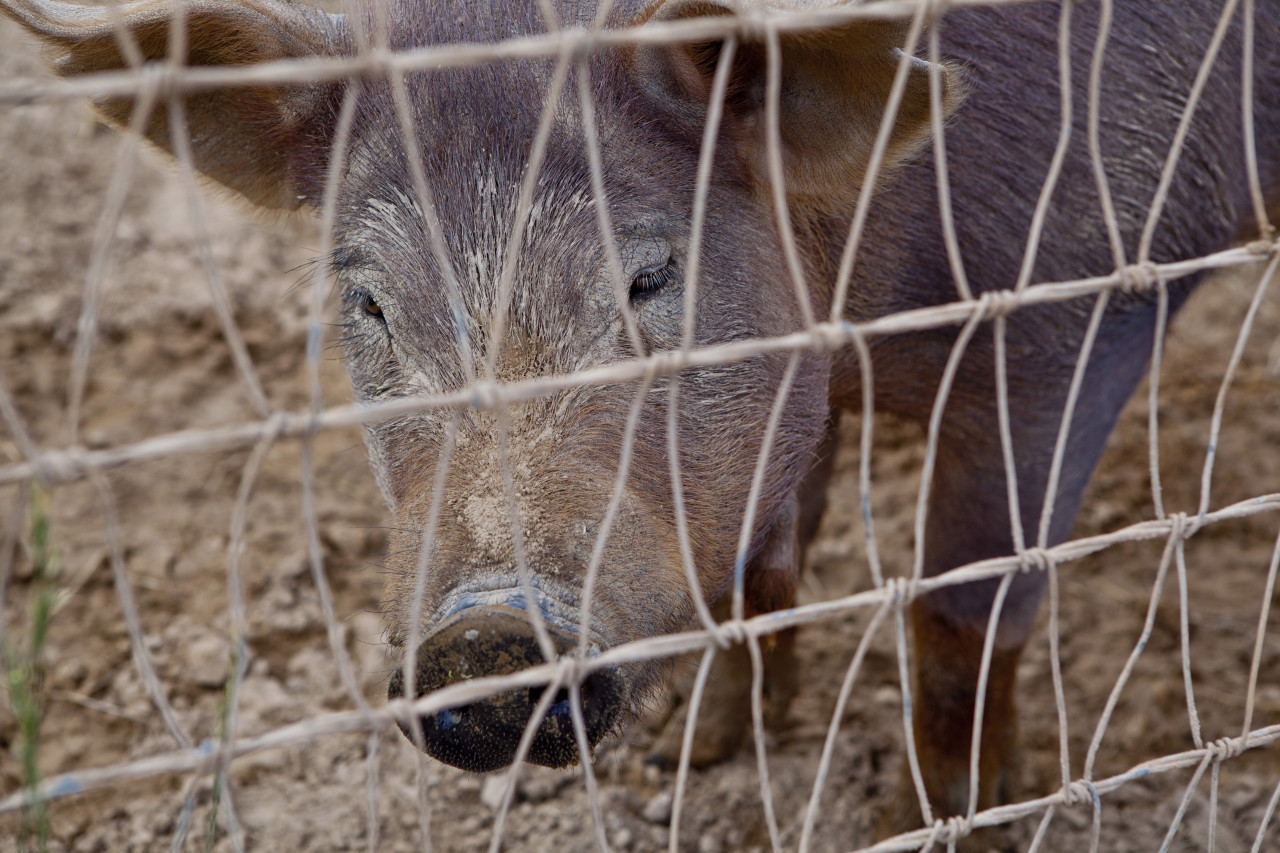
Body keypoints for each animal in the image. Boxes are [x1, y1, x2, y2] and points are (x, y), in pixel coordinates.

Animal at [5, 0, 1274, 829]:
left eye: (649, 276)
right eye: (366, 300)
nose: (490, 638)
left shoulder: (1087, 304)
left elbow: (960, 606)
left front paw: (950, 818)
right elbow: (762, 566)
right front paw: (699, 757)